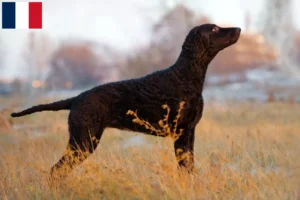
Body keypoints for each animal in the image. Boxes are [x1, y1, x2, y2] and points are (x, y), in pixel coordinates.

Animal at [9, 23, 241, 178]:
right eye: (214, 29)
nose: (238, 29)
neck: (184, 75)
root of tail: (76, 98)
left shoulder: (189, 132)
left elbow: (189, 166)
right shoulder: (181, 132)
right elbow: (185, 167)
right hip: (84, 140)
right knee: (56, 170)